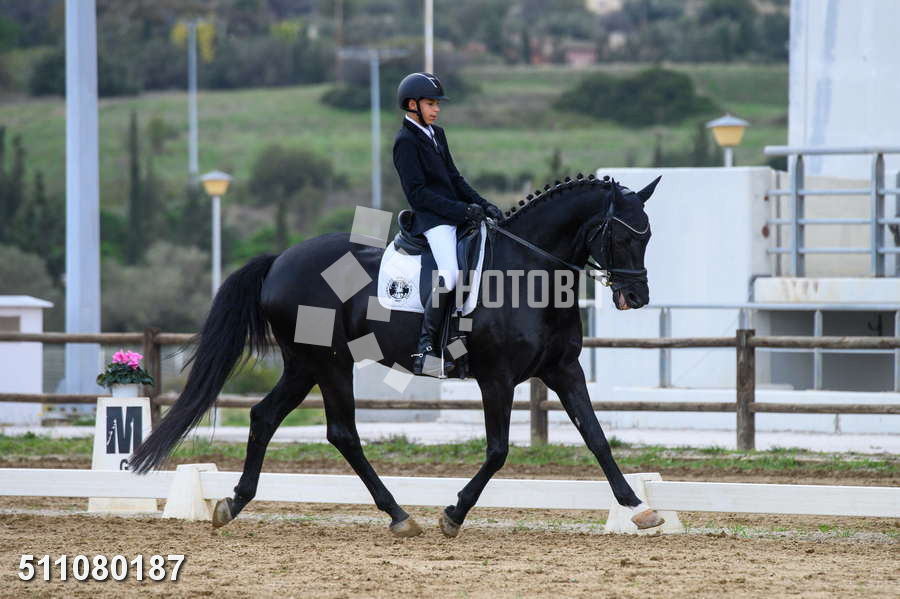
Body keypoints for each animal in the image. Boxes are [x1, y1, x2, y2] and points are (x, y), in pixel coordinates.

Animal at [130, 173, 662, 538]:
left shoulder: (563, 370)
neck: (528, 273)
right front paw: (453, 514)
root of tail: (279, 260)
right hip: (329, 362)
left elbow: (596, 437)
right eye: (623, 235)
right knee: (342, 432)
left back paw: (233, 504)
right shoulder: (497, 378)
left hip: (304, 364)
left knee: (265, 416)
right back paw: (400, 515)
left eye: (649, 235)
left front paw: (639, 507)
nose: (635, 298)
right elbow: (498, 451)